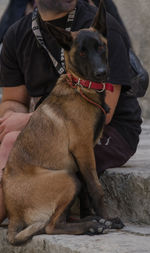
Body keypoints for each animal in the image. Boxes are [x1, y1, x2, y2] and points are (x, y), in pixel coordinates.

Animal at [2, 0, 123, 245]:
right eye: (82, 52)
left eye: (100, 47)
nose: (102, 73)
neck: (82, 87)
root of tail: (13, 214)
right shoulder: (83, 149)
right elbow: (96, 188)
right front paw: (108, 219)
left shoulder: (85, 155)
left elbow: (88, 190)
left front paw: (95, 216)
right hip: (67, 179)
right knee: (50, 227)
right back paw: (91, 225)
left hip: (70, 177)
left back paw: (90, 223)